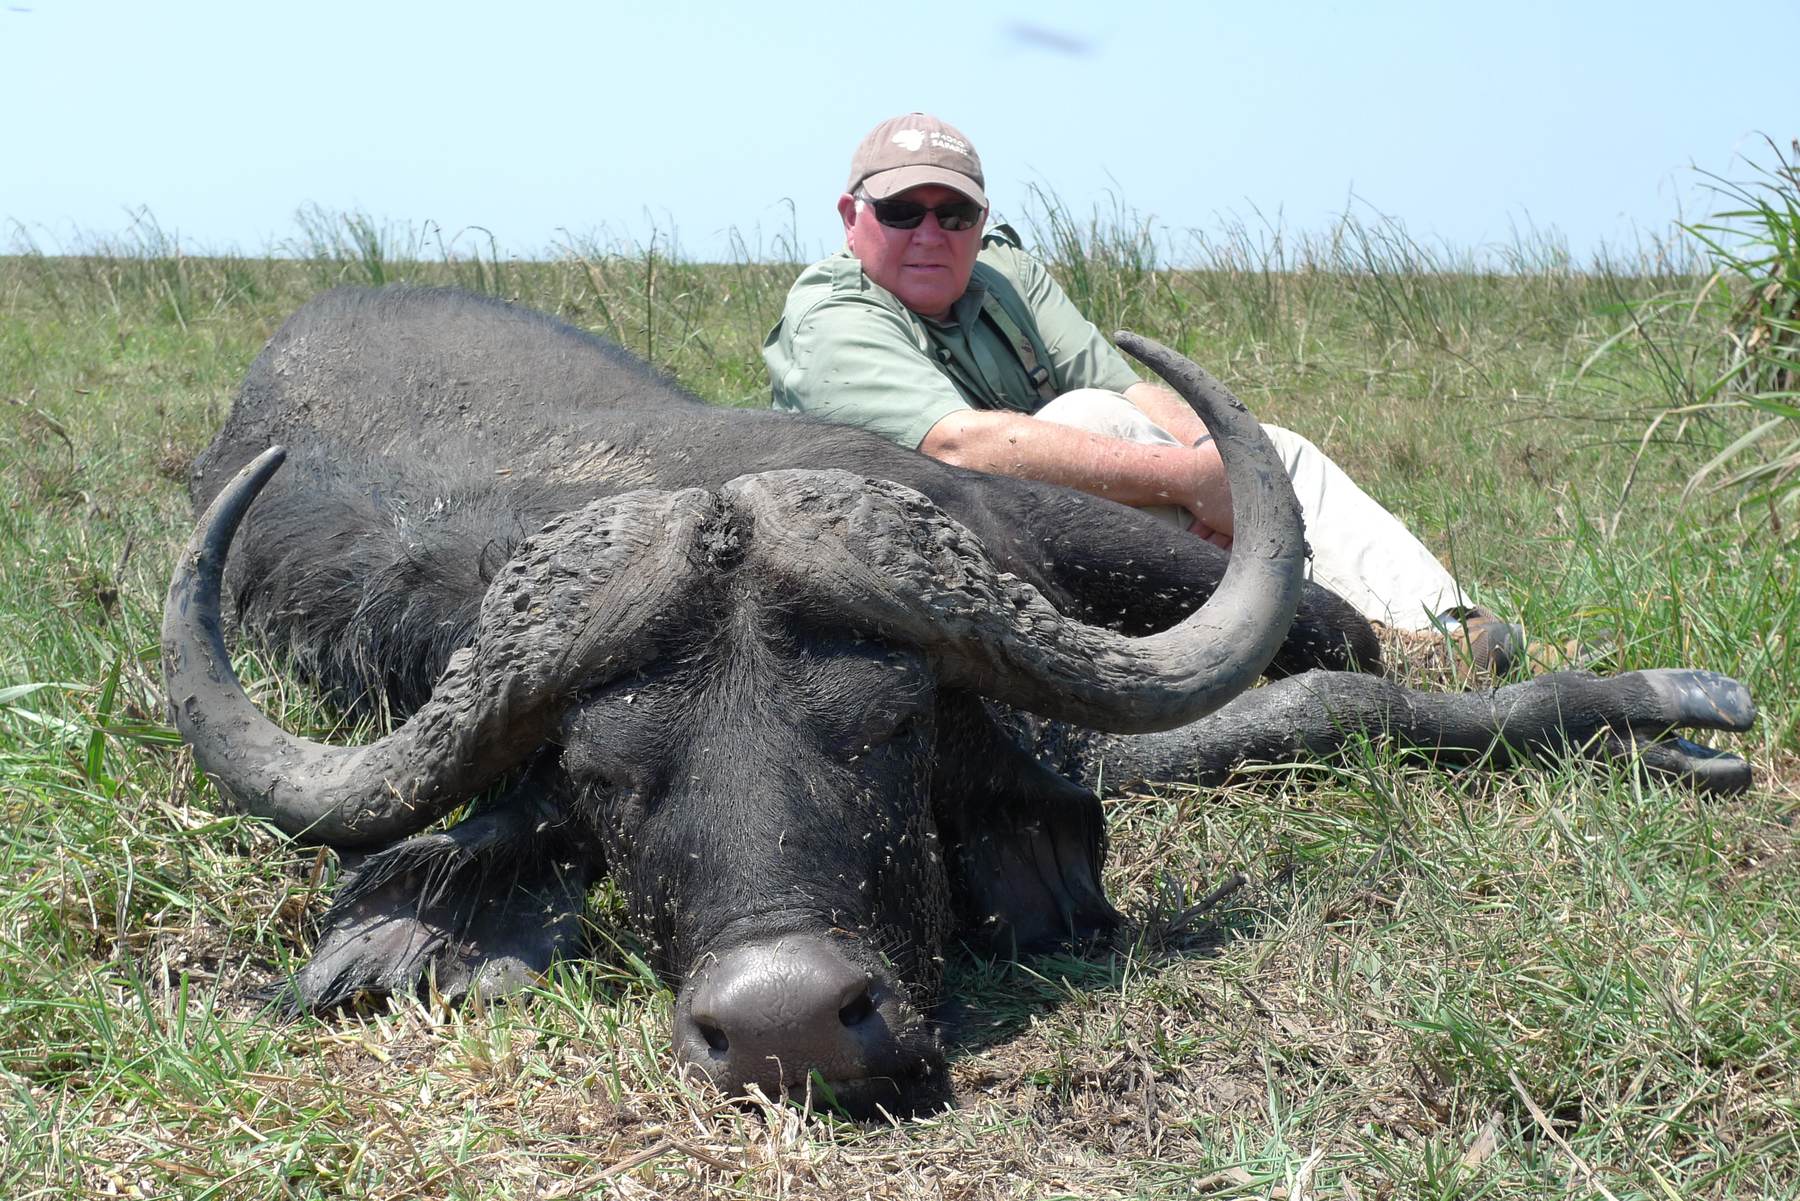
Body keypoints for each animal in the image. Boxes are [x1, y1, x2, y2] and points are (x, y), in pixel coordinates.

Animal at [162, 286, 1755, 1117]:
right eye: (606, 785)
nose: (792, 1024)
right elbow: (1309, 707)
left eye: (892, 728)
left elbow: (1335, 684)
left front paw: (1667, 713)